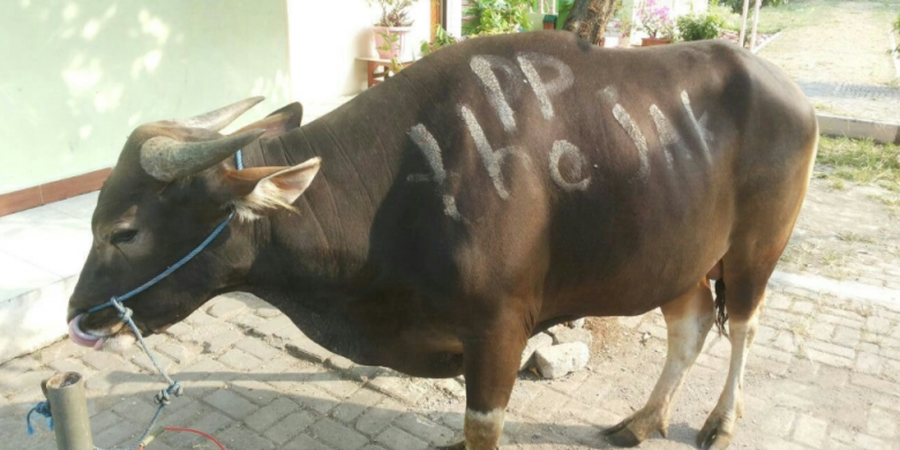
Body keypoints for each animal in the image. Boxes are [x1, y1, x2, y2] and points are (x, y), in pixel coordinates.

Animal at [67, 32, 820, 450]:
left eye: (123, 230)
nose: (78, 317)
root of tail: (791, 93)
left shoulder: (499, 329)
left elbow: (481, 427)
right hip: (680, 259)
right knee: (689, 328)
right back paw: (641, 420)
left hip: (755, 251)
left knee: (743, 325)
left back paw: (720, 423)